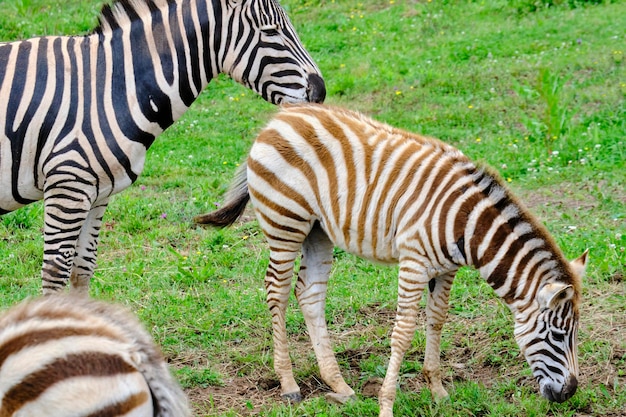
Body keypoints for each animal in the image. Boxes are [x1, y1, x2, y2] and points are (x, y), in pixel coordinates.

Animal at [0, 0, 324, 294]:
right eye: (270, 32)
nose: (320, 92)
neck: (113, 87)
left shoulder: (97, 193)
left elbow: (83, 269)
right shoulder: (68, 186)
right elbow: (55, 275)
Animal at [197, 103, 588, 416]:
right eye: (557, 335)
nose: (570, 393)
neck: (466, 225)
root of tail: (279, 118)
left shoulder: (447, 269)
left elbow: (437, 320)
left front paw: (437, 390)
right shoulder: (413, 262)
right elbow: (402, 332)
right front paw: (387, 403)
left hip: (317, 230)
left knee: (309, 293)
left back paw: (338, 385)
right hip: (285, 222)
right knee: (276, 292)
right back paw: (289, 384)